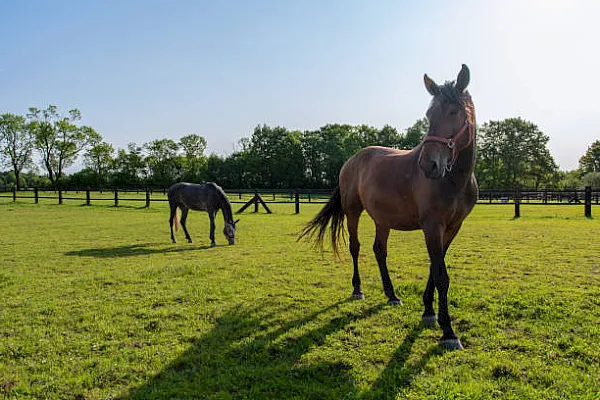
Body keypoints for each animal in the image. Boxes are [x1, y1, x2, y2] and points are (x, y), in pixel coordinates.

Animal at [300, 64, 478, 348]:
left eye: (453, 111)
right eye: (429, 114)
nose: (429, 165)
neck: (454, 180)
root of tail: (351, 160)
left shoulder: (452, 228)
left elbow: (434, 267)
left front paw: (428, 312)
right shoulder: (432, 226)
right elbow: (441, 275)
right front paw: (448, 331)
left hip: (382, 220)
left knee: (379, 250)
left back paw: (391, 294)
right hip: (353, 212)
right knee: (355, 247)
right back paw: (358, 289)